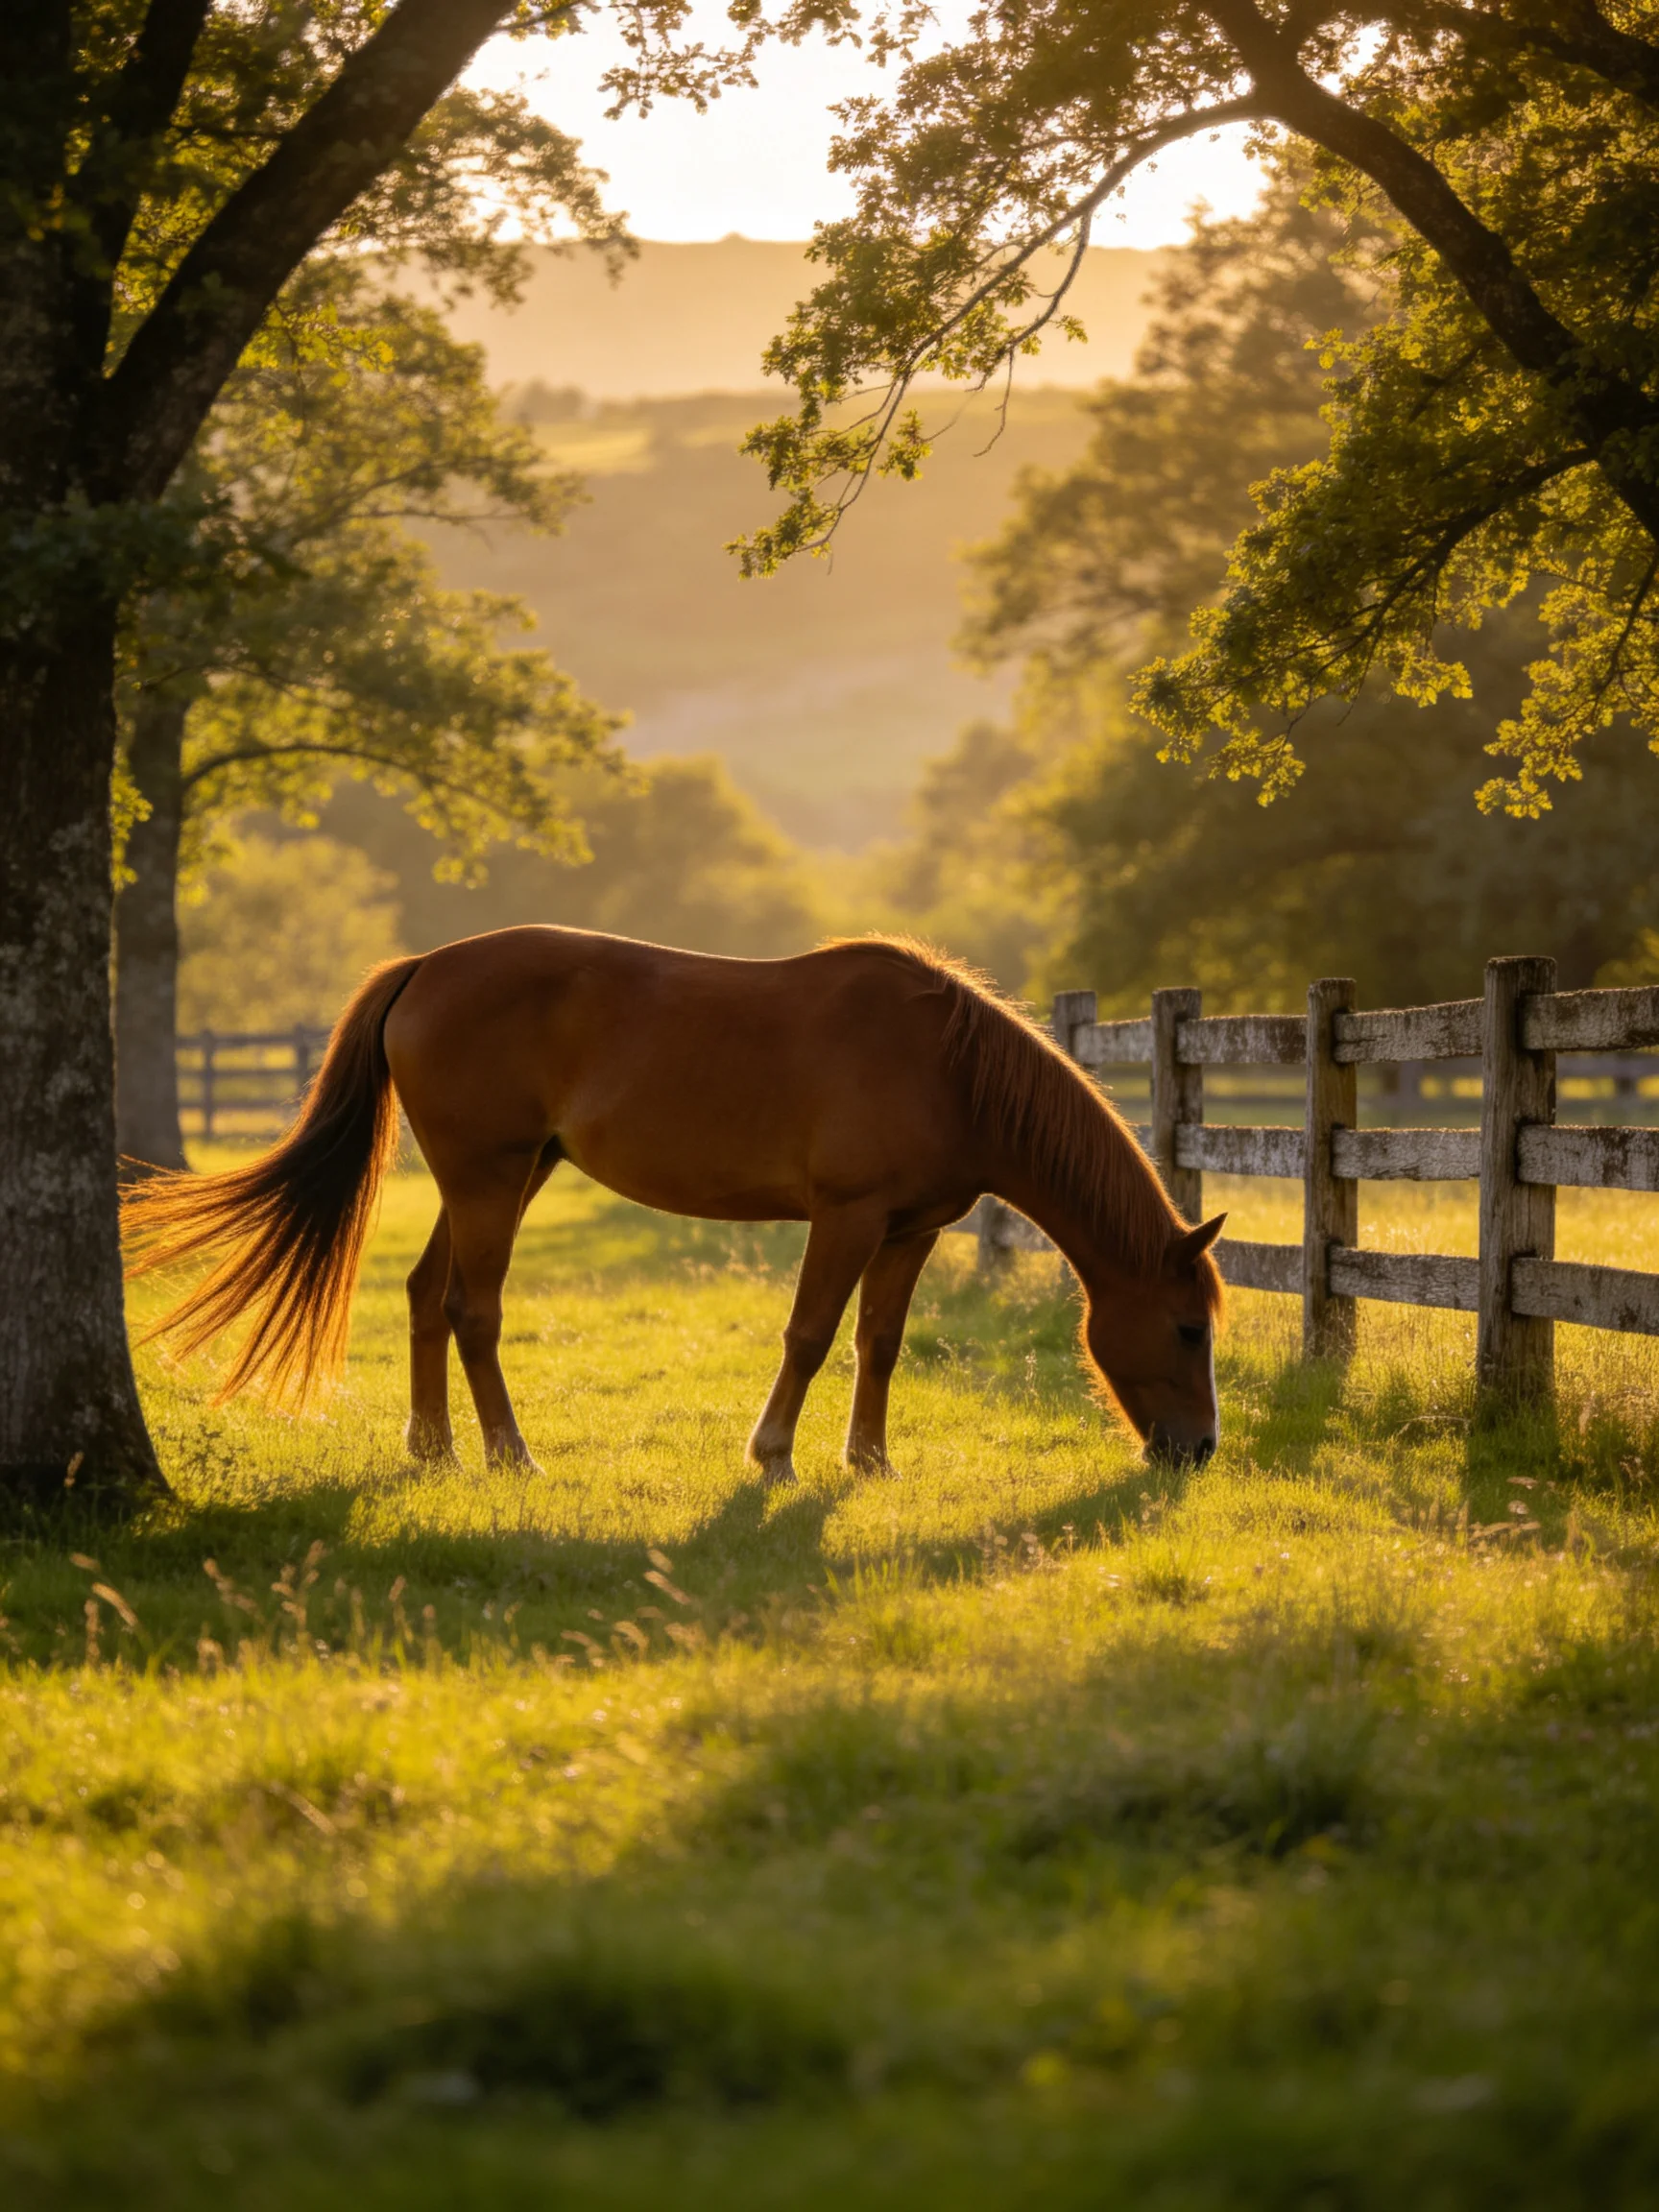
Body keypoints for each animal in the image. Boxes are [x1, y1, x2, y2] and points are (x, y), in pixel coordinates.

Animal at [123, 929, 1226, 1477]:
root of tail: (426, 966)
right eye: (1188, 1329)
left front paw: (870, 1463)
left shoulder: (910, 1229)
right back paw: (511, 1456)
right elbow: (809, 1336)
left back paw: (433, 1449)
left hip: (504, 1175)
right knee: (472, 1310)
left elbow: (878, 1342)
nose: (1201, 1451)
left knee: (425, 1295)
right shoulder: (848, 1217)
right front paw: (773, 1457)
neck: (946, 1066)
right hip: (489, 1178)